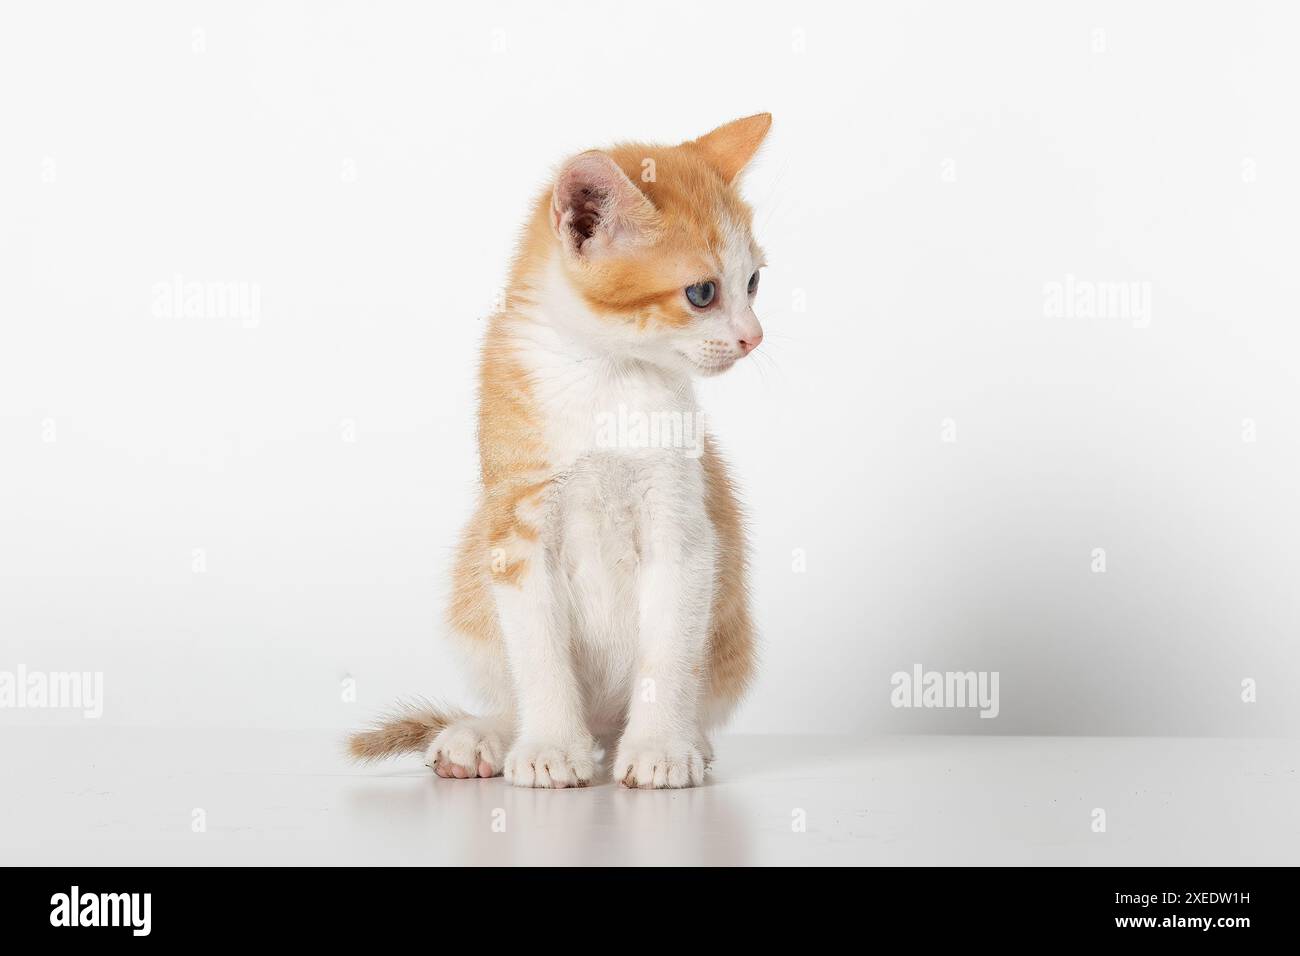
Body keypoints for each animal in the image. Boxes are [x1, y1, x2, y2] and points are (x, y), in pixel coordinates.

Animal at [348, 115, 769, 790]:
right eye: (703, 293)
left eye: (753, 282)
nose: (754, 338)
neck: (605, 375)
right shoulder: (514, 527)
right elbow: (538, 653)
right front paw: (548, 746)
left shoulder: (683, 526)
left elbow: (669, 649)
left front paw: (659, 747)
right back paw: (484, 737)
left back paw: (684, 741)